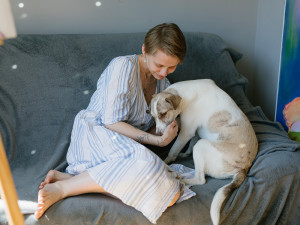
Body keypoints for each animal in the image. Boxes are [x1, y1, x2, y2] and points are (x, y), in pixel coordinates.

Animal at [150, 79, 258, 225]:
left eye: (163, 114)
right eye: (153, 116)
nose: (158, 134)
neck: (183, 94)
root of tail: (244, 168)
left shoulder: (186, 132)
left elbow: (173, 151)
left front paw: (165, 161)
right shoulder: (194, 131)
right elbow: (190, 143)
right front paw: (185, 154)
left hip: (201, 145)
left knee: (200, 180)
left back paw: (182, 179)